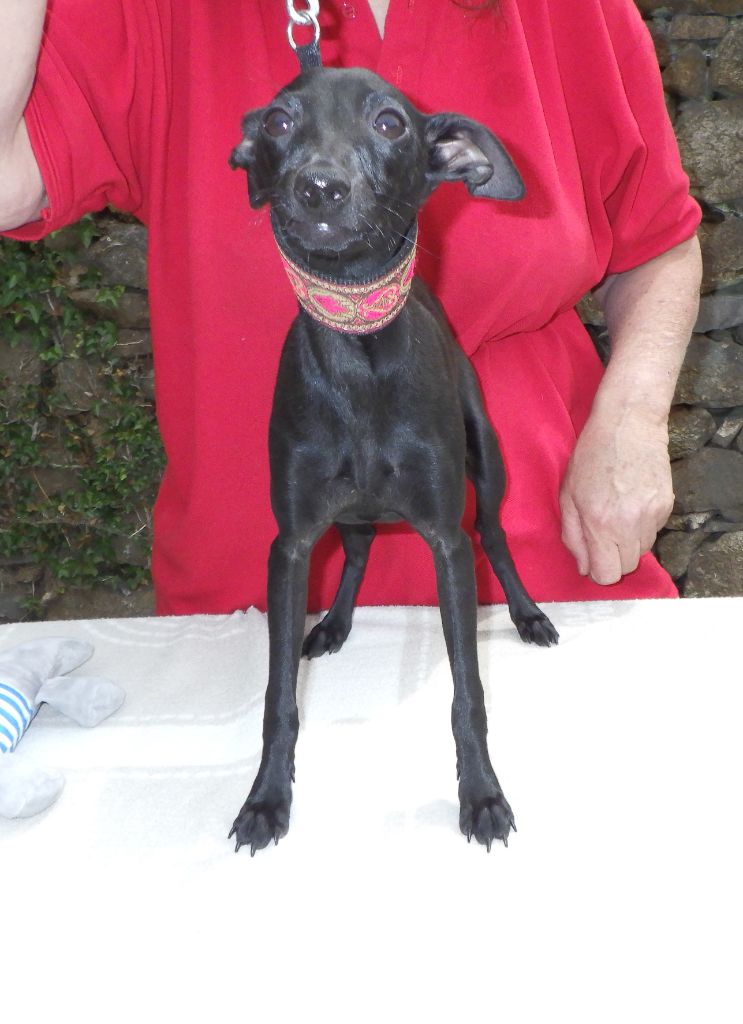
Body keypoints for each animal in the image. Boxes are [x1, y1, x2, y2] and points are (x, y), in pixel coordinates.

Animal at [228, 67, 558, 855]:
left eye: (389, 124)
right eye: (279, 121)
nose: (318, 187)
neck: (358, 357)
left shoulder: (445, 541)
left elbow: (468, 693)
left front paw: (481, 795)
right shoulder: (290, 545)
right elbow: (278, 696)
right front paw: (266, 800)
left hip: (486, 467)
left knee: (496, 535)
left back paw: (528, 613)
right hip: (349, 513)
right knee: (352, 552)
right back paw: (333, 623)